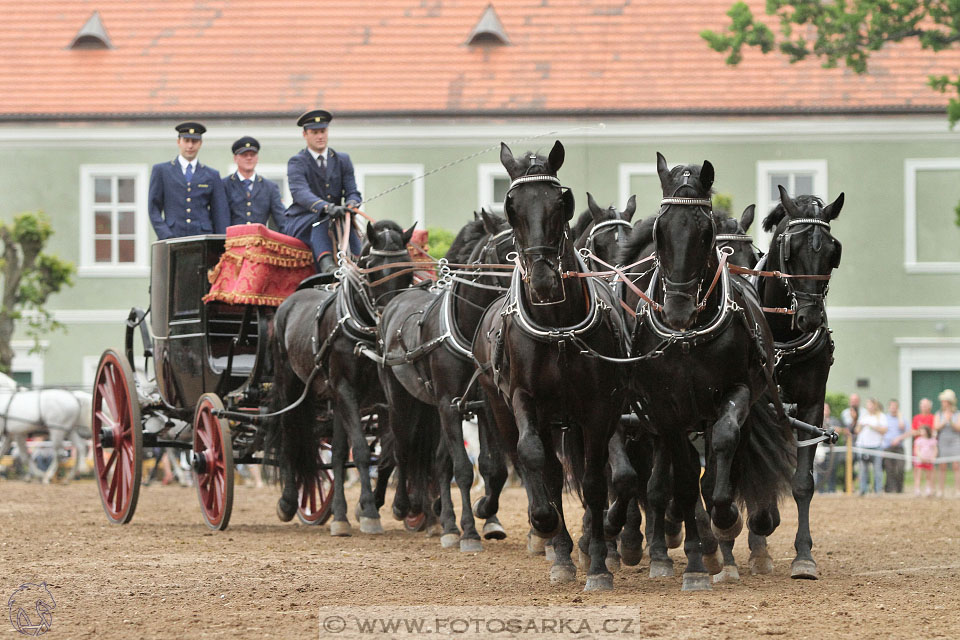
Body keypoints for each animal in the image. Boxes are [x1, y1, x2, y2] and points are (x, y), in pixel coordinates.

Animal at [270, 220, 420, 536]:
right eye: (372, 268)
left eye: (408, 268)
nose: (390, 317)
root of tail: (290, 301)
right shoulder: (346, 388)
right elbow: (361, 450)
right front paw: (370, 512)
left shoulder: (381, 399)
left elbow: (394, 448)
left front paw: (399, 506)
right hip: (291, 387)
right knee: (290, 437)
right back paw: (288, 502)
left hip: (334, 398)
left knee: (337, 452)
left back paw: (339, 515)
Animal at [376, 210, 516, 552]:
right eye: (505, 251)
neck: (467, 326)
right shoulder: (449, 405)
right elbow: (463, 469)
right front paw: (468, 532)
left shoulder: (484, 405)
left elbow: (493, 468)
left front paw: (484, 512)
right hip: (401, 400)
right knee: (401, 448)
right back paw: (405, 506)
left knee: (439, 461)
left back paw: (444, 520)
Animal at [472, 140, 632, 592]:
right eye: (510, 205)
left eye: (562, 202)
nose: (544, 282)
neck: (558, 325)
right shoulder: (525, 399)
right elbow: (535, 460)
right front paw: (545, 524)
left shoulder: (600, 407)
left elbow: (598, 481)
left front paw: (599, 561)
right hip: (503, 408)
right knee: (536, 465)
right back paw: (554, 543)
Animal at [624, 152, 796, 592]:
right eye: (660, 231)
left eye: (704, 232)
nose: (678, 311)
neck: (689, 336)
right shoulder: (665, 409)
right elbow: (684, 481)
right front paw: (698, 560)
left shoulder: (736, 391)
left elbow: (724, 445)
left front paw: (726, 519)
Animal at [716, 185, 844, 580]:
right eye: (792, 248)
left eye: (832, 252)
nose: (809, 317)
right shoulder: (748, 404)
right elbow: (743, 469)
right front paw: (742, 531)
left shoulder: (811, 404)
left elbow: (802, 482)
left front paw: (803, 557)